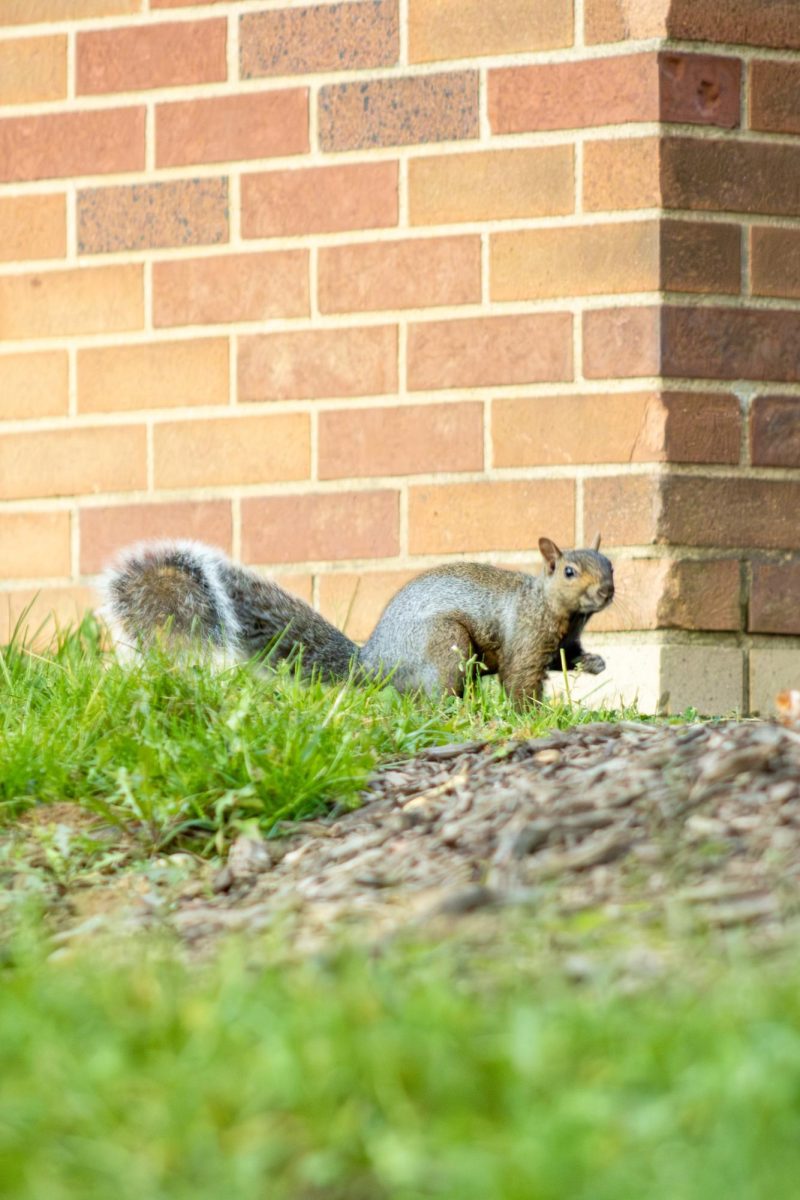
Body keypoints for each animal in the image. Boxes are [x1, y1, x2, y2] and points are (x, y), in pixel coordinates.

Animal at [100, 532, 614, 700]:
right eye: (570, 571)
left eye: (609, 564)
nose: (606, 591)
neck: (554, 609)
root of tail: (372, 664)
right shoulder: (525, 638)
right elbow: (522, 680)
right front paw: (531, 716)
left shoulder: (562, 642)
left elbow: (566, 659)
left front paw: (596, 663)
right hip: (444, 646)